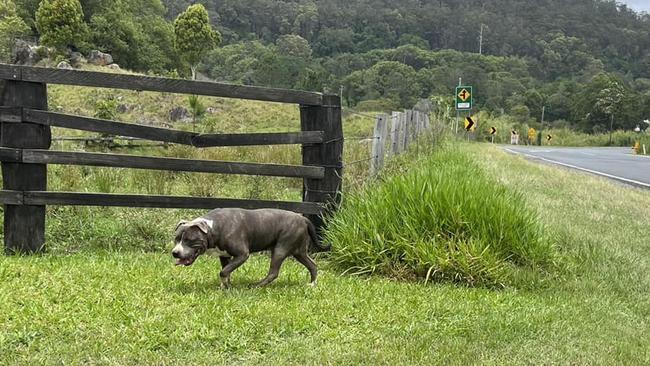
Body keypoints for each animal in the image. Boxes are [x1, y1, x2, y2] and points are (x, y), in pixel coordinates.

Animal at [171, 207, 330, 288]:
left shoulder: (242, 254)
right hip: (299, 251)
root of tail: (303, 218)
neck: (213, 228)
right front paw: (226, 286)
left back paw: (257, 285)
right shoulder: (224, 255)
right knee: (313, 265)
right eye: (176, 239)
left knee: (273, 272)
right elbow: (226, 270)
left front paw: (226, 285)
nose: (175, 253)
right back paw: (312, 284)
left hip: (281, 248)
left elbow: (223, 271)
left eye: (189, 240)